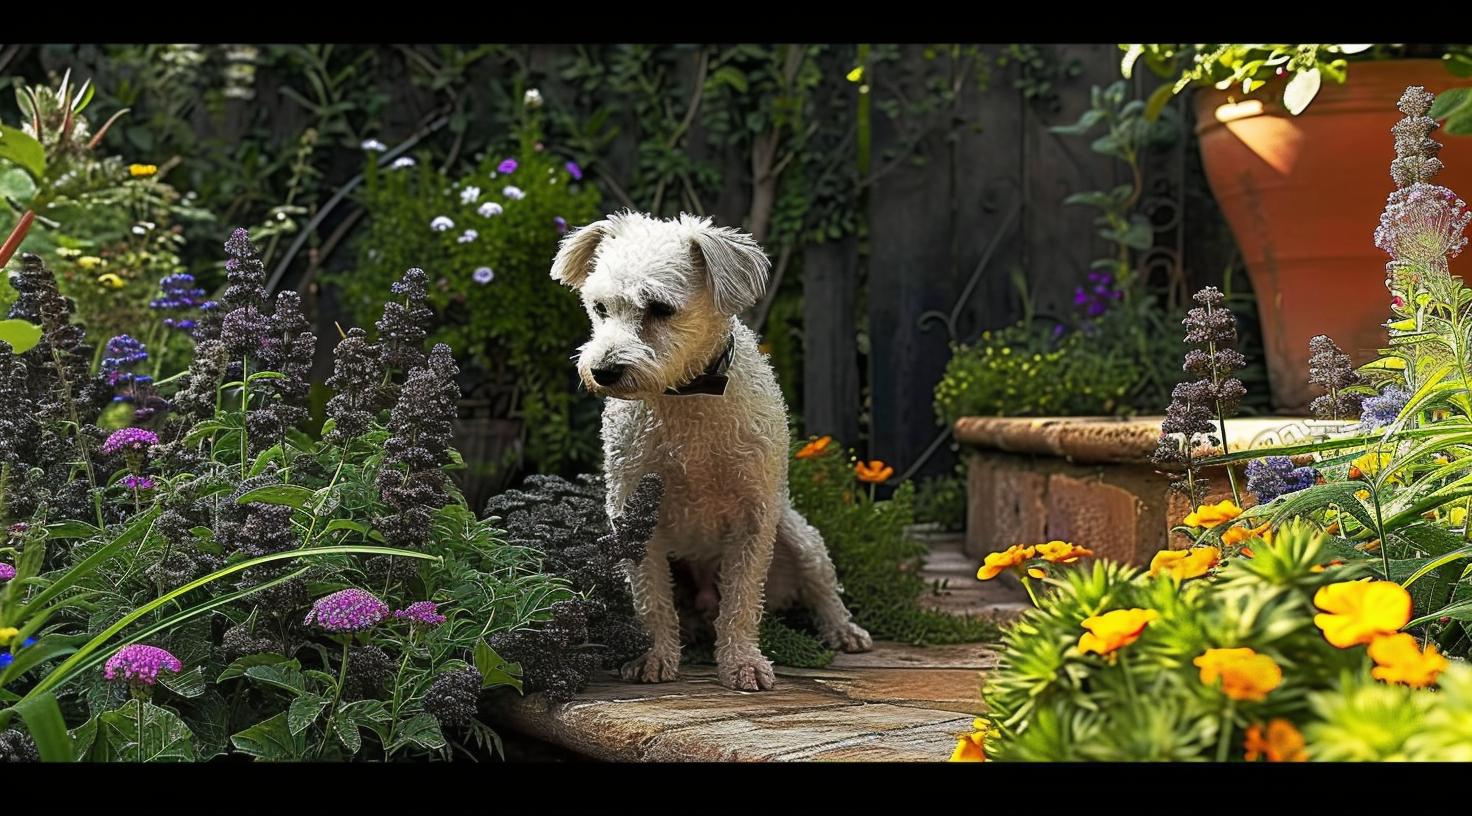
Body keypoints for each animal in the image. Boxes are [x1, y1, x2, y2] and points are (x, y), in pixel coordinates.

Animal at [553, 207, 871, 686]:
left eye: (659, 308)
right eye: (600, 307)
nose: (603, 370)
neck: (684, 396)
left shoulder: (754, 516)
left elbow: (741, 601)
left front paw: (741, 662)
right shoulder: (632, 513)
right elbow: (650, 599)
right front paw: (654, 657)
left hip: (799, 537)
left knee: (822, 586)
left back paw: (842, 630)